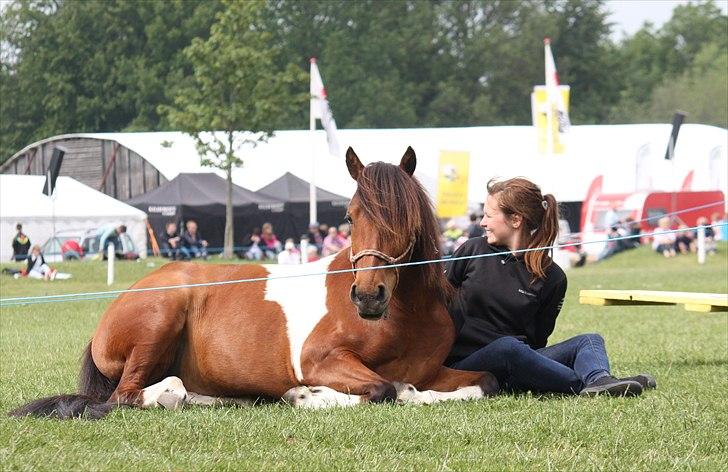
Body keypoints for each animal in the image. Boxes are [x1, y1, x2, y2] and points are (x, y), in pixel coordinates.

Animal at [11, 146, 498, 418]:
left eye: (406, 217)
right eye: (349, 216)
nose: (367, 297)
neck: (403, 317)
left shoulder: (434, 370)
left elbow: (485, 381)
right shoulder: (322, 359)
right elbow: (383, 389)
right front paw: (303, 396)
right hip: (159, 320)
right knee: (129, 396)